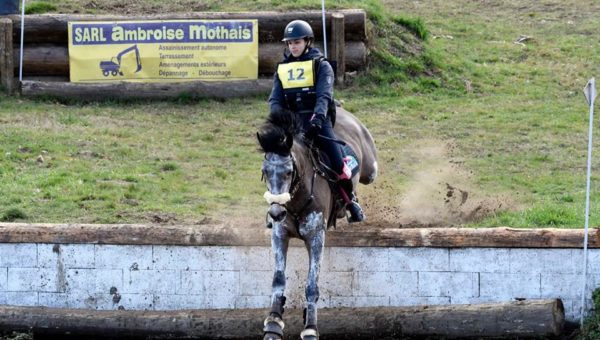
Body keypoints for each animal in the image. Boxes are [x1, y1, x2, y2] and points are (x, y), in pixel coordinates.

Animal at [255, 107, 378, 340]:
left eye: (288, 172)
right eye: (265, 172)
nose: (276, 212)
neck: (295, 199)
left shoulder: (315, 237)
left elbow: (312, 285)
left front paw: (310, 327)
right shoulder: (280, 234)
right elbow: (278, 278)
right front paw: (274, 322)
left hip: (370, 169)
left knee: (364, 175)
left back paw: (353, 206)